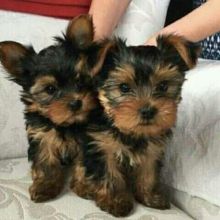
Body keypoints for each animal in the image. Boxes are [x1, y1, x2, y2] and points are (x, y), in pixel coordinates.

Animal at [0, 14, 107, 202]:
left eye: (80, 80)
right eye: (50, 89)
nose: (76, 103)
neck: (65, 125)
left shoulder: (86, 138)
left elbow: (84, 163)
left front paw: (84, 186)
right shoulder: (42, 137)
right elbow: (46, 163)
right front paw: (45, 186)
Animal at [71, 35, 200, 216]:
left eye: (163, 86)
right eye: (124, 87)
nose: (147, 111)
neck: (131, 132)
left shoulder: (152, 150)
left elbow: (148, 173)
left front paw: (150, 197)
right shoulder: (101, 147)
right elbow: (109, 175)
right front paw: (115, 201)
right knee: (80, 168)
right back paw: (84, 187)